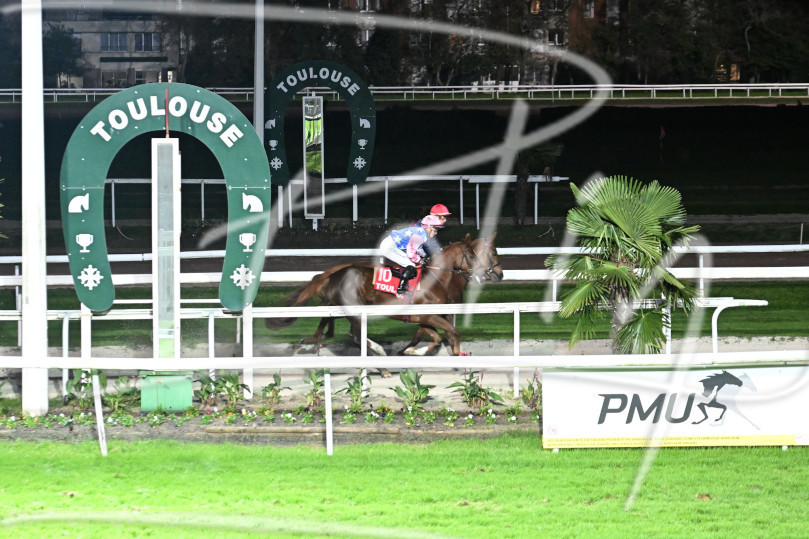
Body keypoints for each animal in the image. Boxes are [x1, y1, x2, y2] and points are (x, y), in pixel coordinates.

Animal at [265, 234, 503, 356]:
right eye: (473, 255)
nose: (499, 274)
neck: (438, 278)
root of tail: (334, 272)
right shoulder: (428, 315)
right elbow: (450, 333)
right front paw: (412, 351)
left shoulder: (425, 317)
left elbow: (436, 336)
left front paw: (411, 350)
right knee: (350, 332)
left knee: (330, 325)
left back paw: (310, 340)